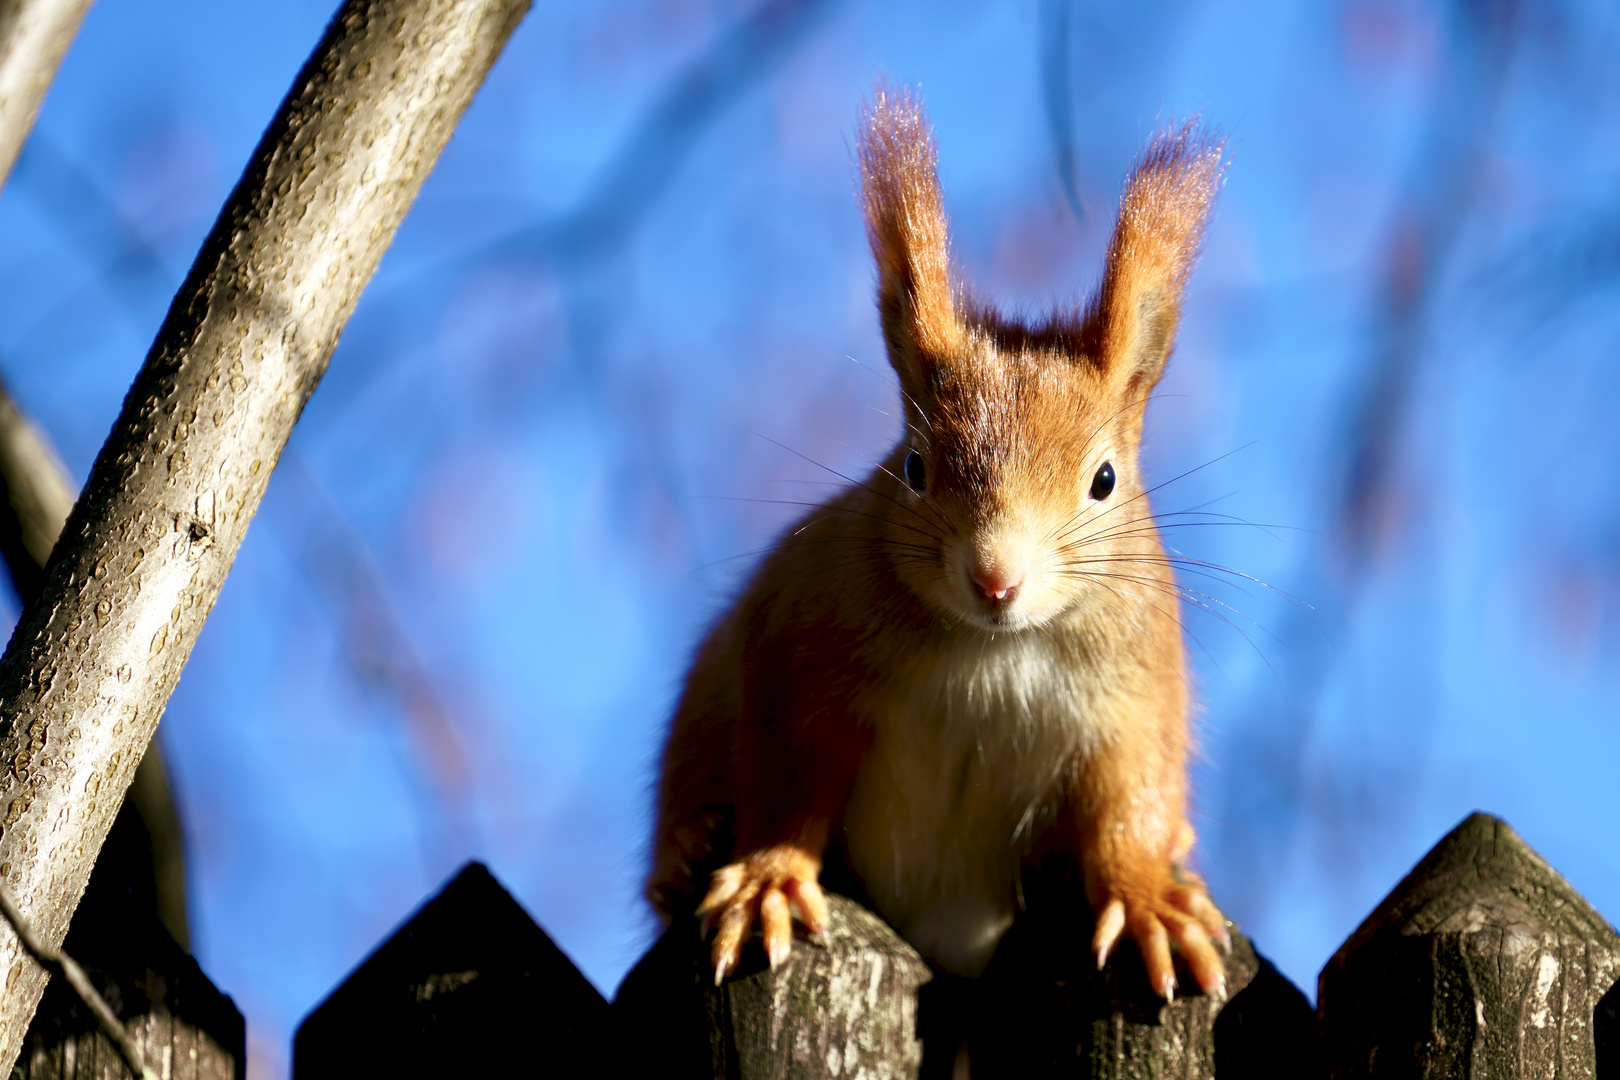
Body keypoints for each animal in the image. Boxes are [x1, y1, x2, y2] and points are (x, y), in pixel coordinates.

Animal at [644, 88, 1224, 1003]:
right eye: (913, 466)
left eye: (1104, 480)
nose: (996, 579)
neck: (992, 652)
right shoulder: (801, 646)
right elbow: (786, 779)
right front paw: (769, 878)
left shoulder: (1134, 694)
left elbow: (1128, 799)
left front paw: (1146, 900)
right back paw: (689, 847)